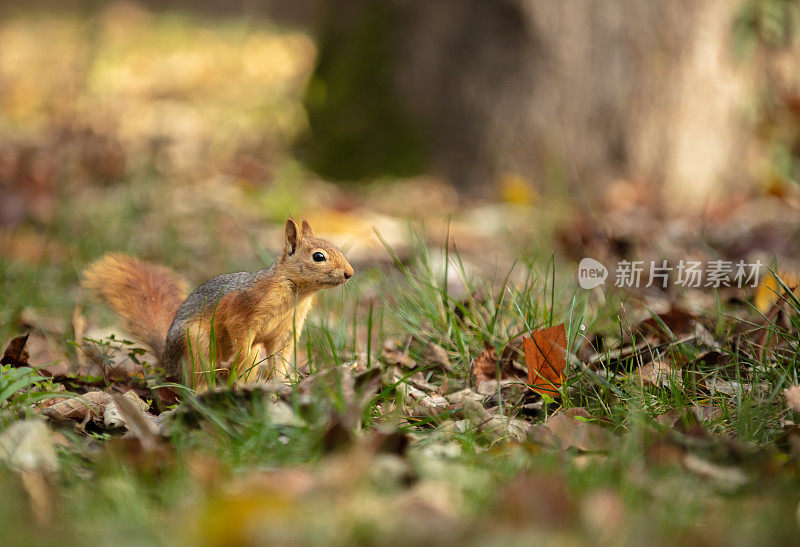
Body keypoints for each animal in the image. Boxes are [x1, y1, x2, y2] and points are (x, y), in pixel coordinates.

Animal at [83, 218, 354, 390]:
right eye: (318, 256)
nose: (350, 273)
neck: (296, 293)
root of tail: (167, 363)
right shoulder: (243, 310)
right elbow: (239, 334)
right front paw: (236, 360)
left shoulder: (286, 332)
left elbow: (280, 358)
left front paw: (282, 382)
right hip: (196, 343)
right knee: (198, 381)